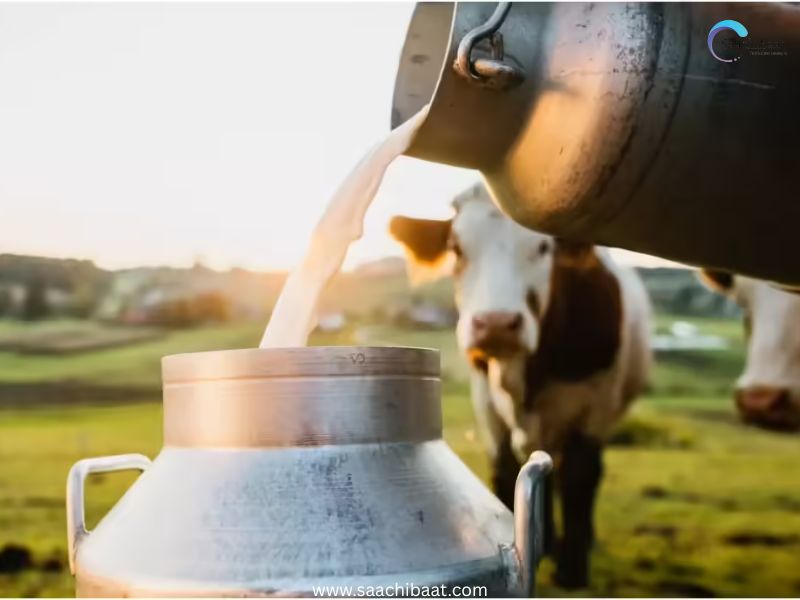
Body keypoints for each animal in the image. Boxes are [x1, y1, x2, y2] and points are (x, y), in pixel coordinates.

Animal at [389, 184, 651, 589]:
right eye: (456, 248)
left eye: (543, 247)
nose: (496, 324)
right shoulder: (485, 399)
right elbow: (505, 469)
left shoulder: (596, 404)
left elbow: (580, 476)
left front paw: (573, 569)